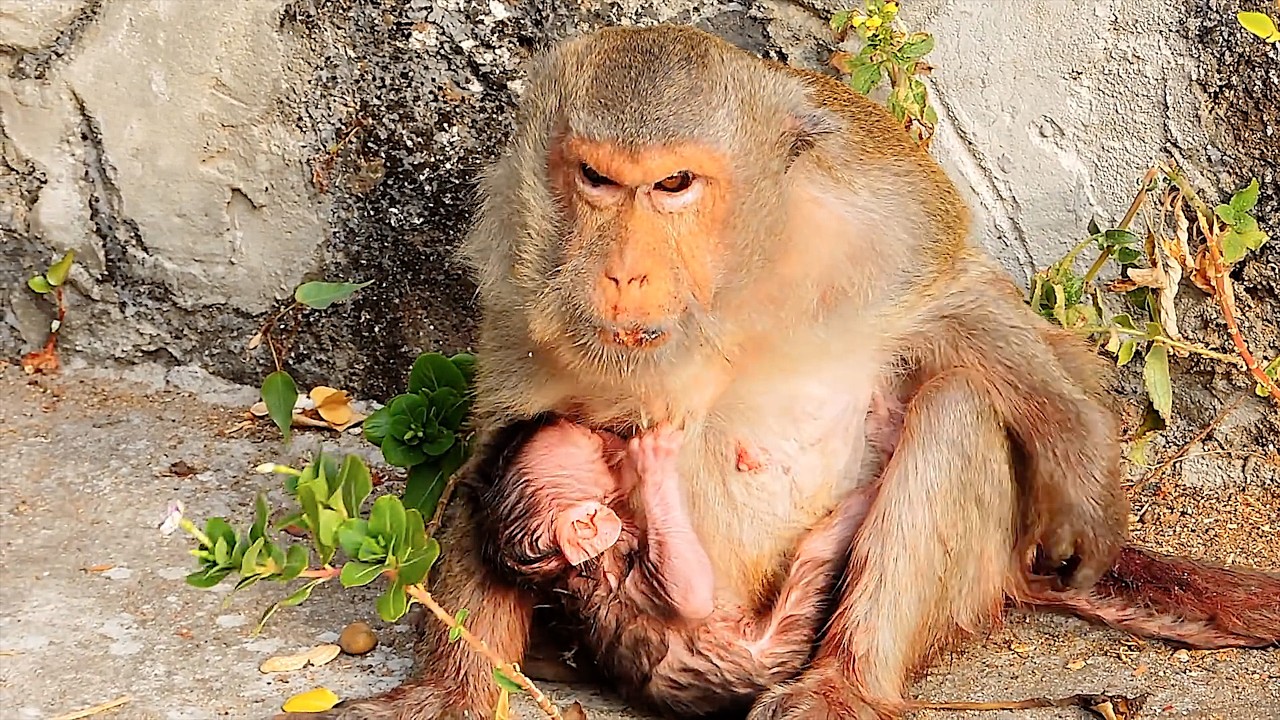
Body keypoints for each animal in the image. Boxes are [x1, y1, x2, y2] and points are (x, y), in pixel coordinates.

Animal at [280, 24, 1280, 720]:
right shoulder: (521, 264)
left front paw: (1080, 473)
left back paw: (848, 680)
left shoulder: (878, 212)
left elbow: (955, 301)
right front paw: (450, 692)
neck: (733, 283)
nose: (623, 272)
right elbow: (505, 439)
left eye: (673, 185)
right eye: (597, 179)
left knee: (955, 404)